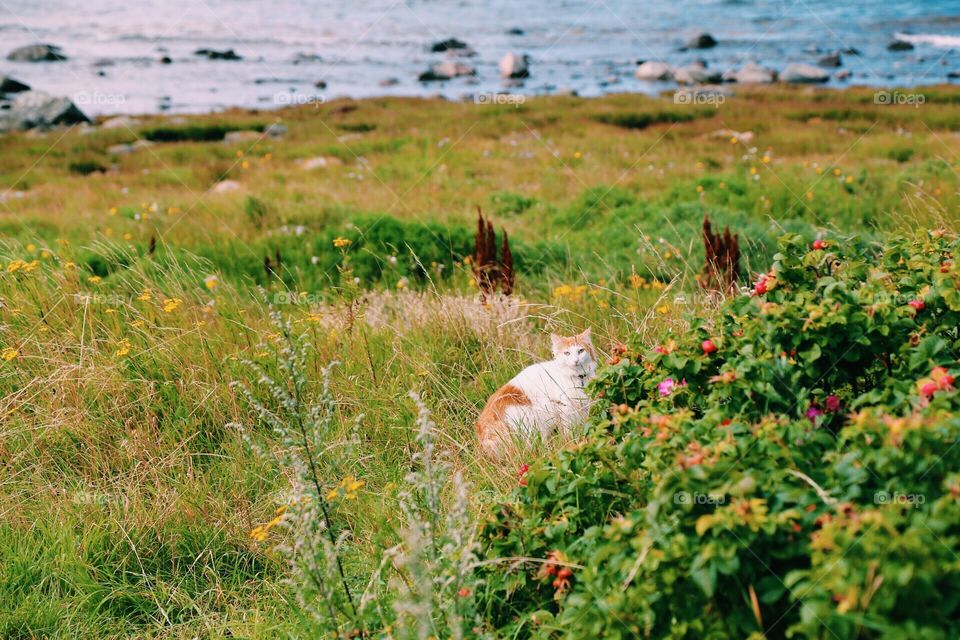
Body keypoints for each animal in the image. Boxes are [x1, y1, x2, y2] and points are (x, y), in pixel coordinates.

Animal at [476, 328, 596, 458]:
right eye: (567, 353)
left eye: (580, 351)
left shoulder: (583, 406)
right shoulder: (566, 410)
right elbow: (569, 431)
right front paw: (574, 442)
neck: (577, 377)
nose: (576, 361)